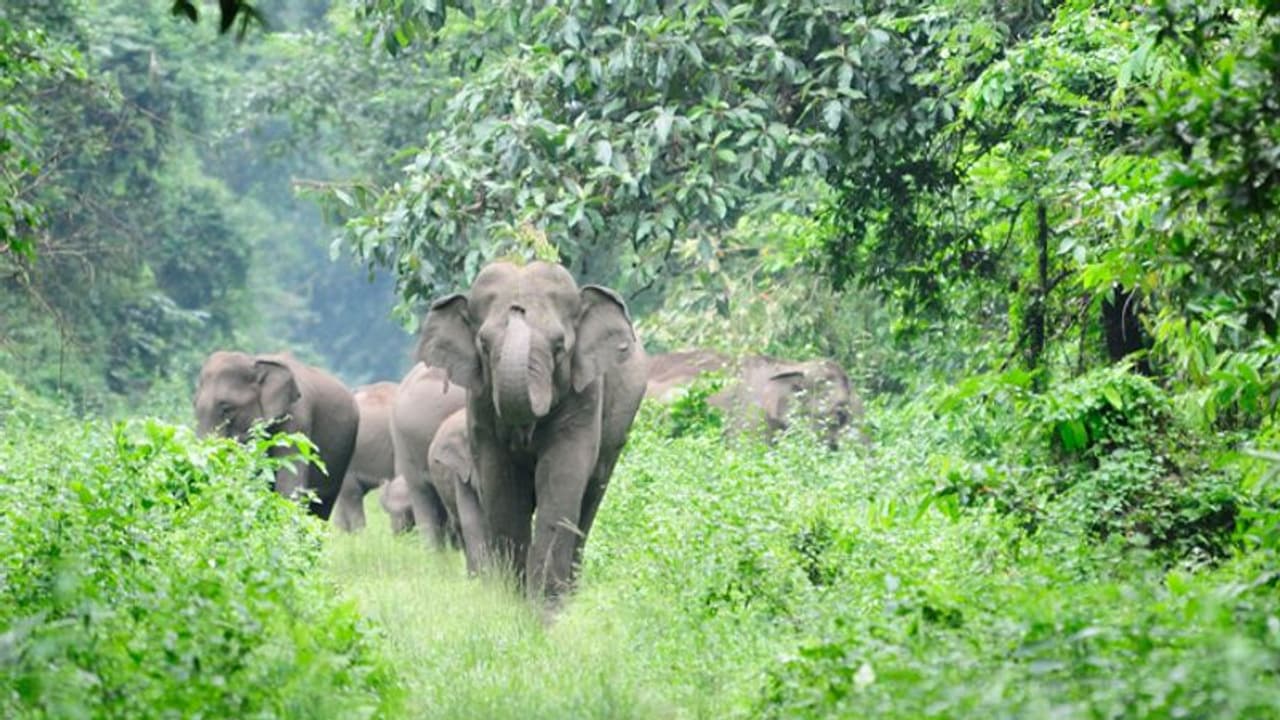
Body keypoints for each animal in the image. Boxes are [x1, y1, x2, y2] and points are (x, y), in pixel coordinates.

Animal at [419, 260, 647, 604]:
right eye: (483, 345)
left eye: (559, 346)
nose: (518, 308)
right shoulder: (480, 403)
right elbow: (502, 485)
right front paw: (513, 602)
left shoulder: (586, 394)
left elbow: (561, 478)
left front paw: (546, 607)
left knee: (590, 499)